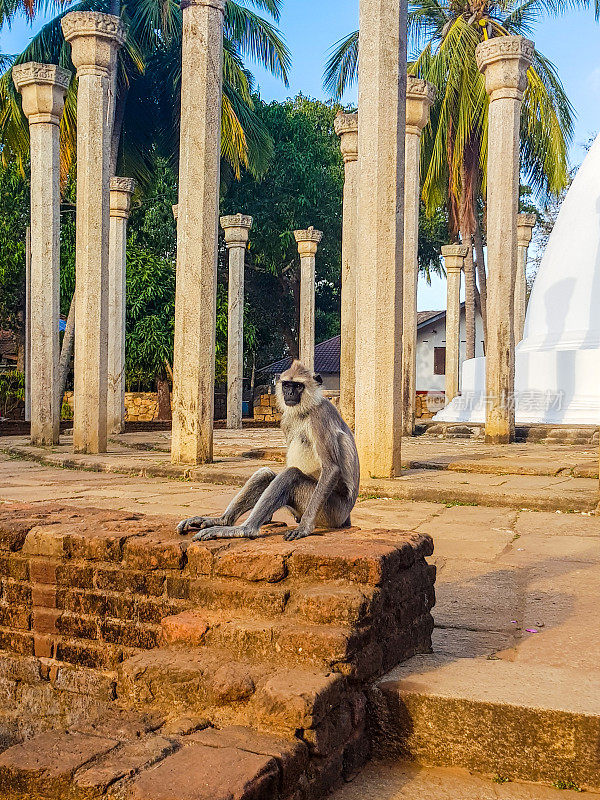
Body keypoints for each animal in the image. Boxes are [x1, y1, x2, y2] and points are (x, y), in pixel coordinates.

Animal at [176, 360, 358, 544]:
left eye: (298, 386)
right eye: (287, 385)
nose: (290, 393)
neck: (304, 411)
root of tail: (346, 517)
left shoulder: (321, 415)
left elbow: (331, 468)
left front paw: (305, 528)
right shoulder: (286, 420)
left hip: (331, 512)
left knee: (290, 475)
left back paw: (244, 529)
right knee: (266, 474)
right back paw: (223, 521)